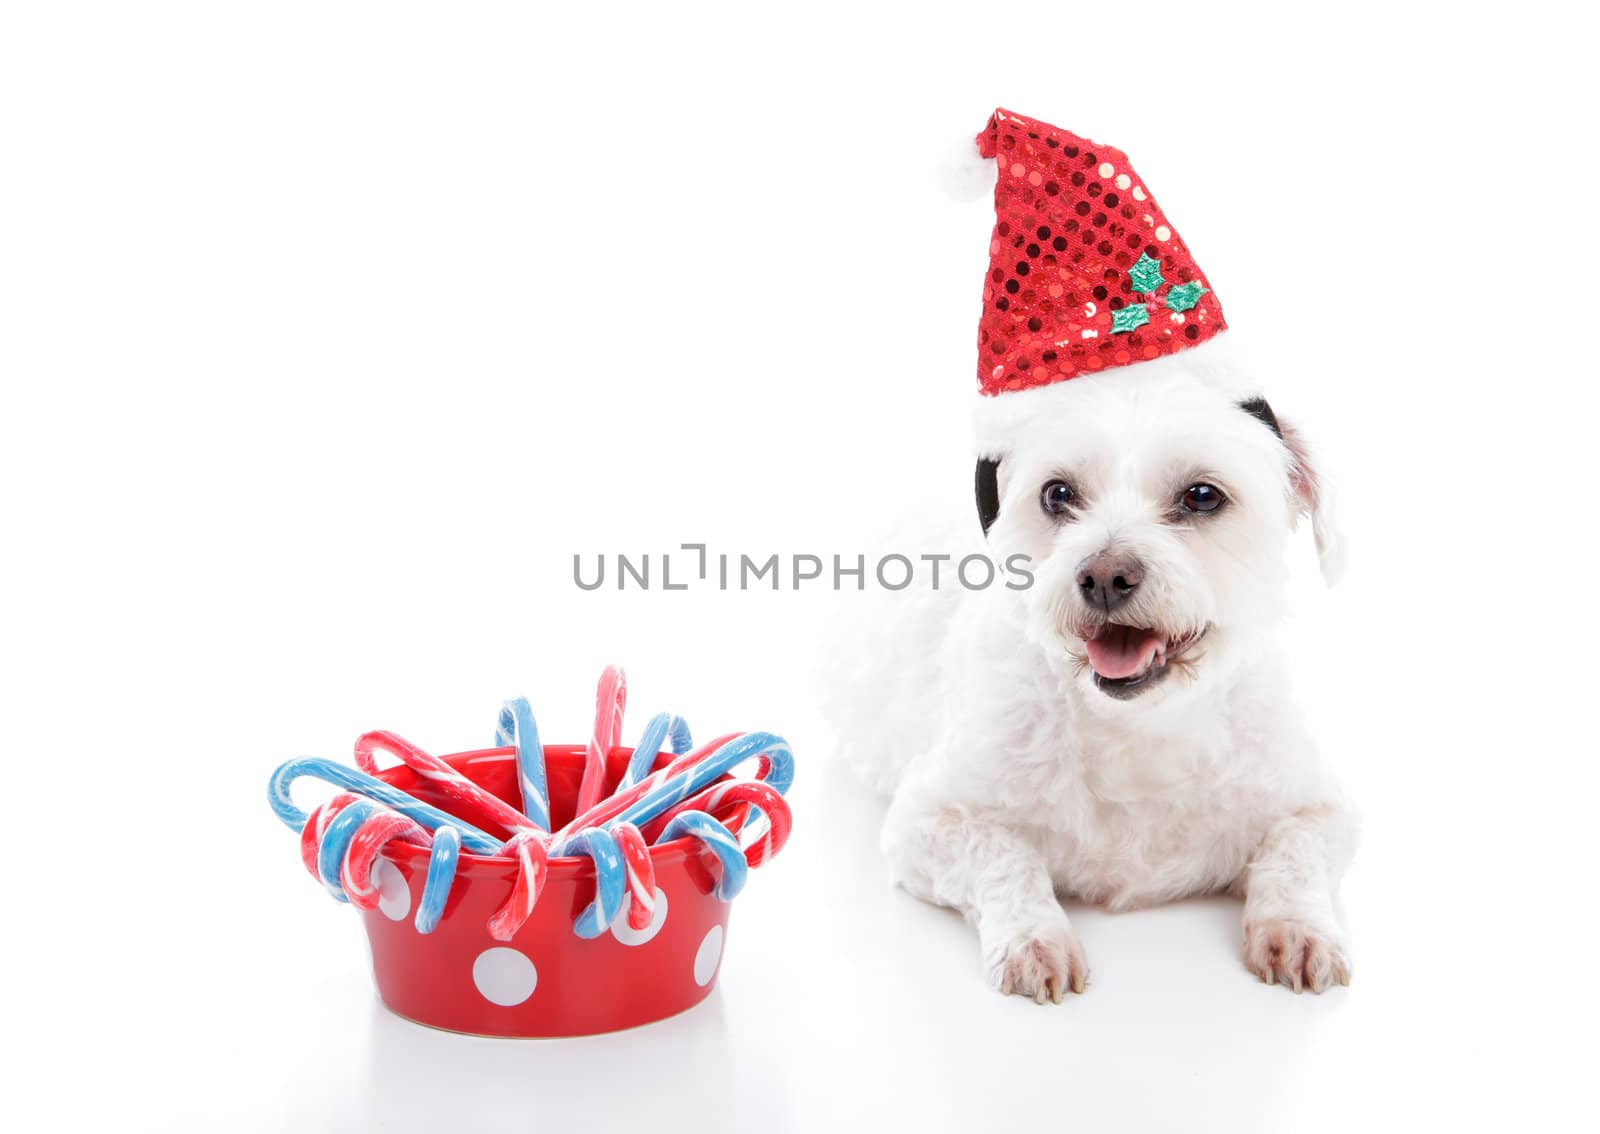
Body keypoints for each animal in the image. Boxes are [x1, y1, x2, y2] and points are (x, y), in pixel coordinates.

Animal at [832, 335, 1356, 998]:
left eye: (1202, 495)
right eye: (1057, 493)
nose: (1104, 575)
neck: (1137, 727)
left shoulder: (1318, 805)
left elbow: (1293, 852)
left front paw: (1298, 927)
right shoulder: (927, 820)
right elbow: (1005, 857)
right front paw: (1035, 937)